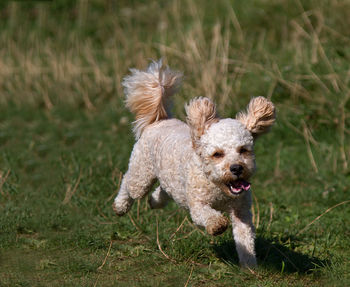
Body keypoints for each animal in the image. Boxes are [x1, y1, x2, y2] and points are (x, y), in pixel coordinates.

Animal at [113, 59, 274, 268]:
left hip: (169, 178)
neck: (219, 188)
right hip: (141, 172)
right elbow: (207, 216)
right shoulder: (197, 206)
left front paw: (249, 267)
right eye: (217, 154)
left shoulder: (242, 212)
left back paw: (154, 201)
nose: (237, 168)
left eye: (243, 150)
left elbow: (245, 238)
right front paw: (217, 225)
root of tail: (160, 120)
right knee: (129, 183)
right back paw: (120, 206)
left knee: (164, 190)